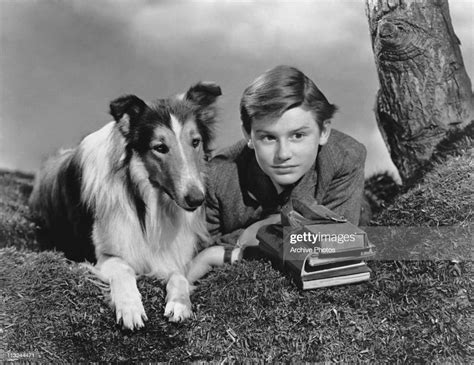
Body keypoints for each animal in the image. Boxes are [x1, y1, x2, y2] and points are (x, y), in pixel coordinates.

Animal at [28, 81, 221, 328]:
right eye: (160, 147)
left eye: (195, 142)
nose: (196, 199)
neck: (148, 205)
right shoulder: (102, 257)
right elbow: (124, 269)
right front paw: (130, 308)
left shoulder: (171, 259)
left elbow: (179, 276)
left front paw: (179, 303)